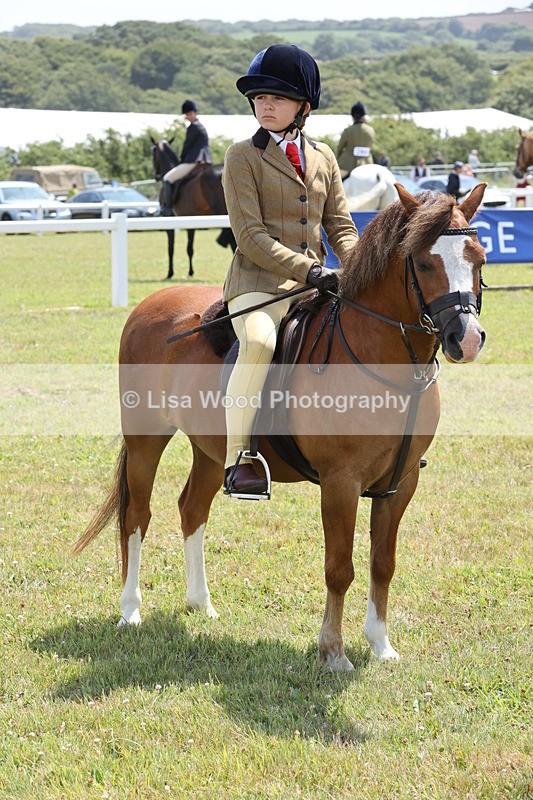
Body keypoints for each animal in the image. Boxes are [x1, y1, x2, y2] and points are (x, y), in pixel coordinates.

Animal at [74, 182, 487, 671]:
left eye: (479, 259)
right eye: (423, 263)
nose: (466, 339)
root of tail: (151, 304)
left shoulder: (400, 484)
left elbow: (382, 563)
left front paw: (381, 646)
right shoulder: (341, 482)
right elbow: (339, 568)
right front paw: (332, 652)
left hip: (213, 451)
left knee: (192, 509)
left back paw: (200, 603)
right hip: (145, 441)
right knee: (137, 517)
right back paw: (131, 610)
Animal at [150, 136, 236, 279]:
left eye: (153, 152)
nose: (156, 175)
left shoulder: (170, 220)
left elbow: (171, 248)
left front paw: (170, 273)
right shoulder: (191, 220)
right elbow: (190, 248)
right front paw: (190, 272)